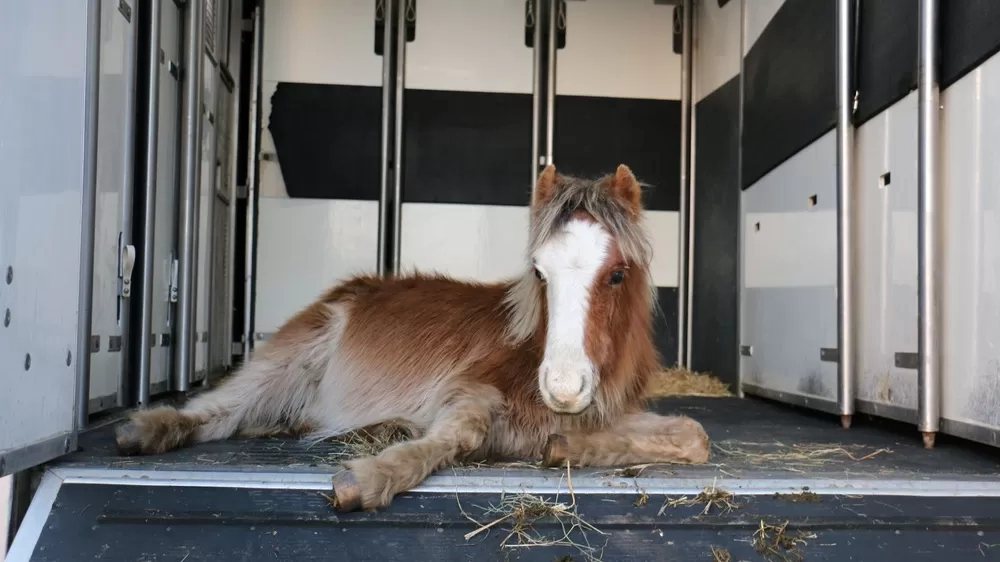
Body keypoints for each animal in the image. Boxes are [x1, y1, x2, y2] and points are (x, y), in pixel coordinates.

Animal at [115, 162, 712, 508]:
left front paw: (567, 446)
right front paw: (372, 476)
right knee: (221, 409)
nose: (563, 389)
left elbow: (694, 435)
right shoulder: (467, 389)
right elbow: (461, 433)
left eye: (617, 275)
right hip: (293, 356)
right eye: (540, 273)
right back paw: (147, 429)